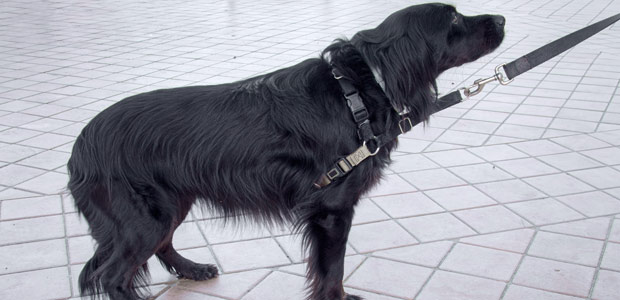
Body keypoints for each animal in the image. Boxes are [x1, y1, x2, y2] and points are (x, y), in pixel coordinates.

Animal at [68, 2, 504, 300]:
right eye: (452, 20)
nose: (501, 19)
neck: (359, 92)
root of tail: (81, 144)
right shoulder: (331, 210)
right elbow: (333, 270)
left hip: (172, 202)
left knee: (159, 246)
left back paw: (193, 269)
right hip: (145, 215)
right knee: (114, 274)